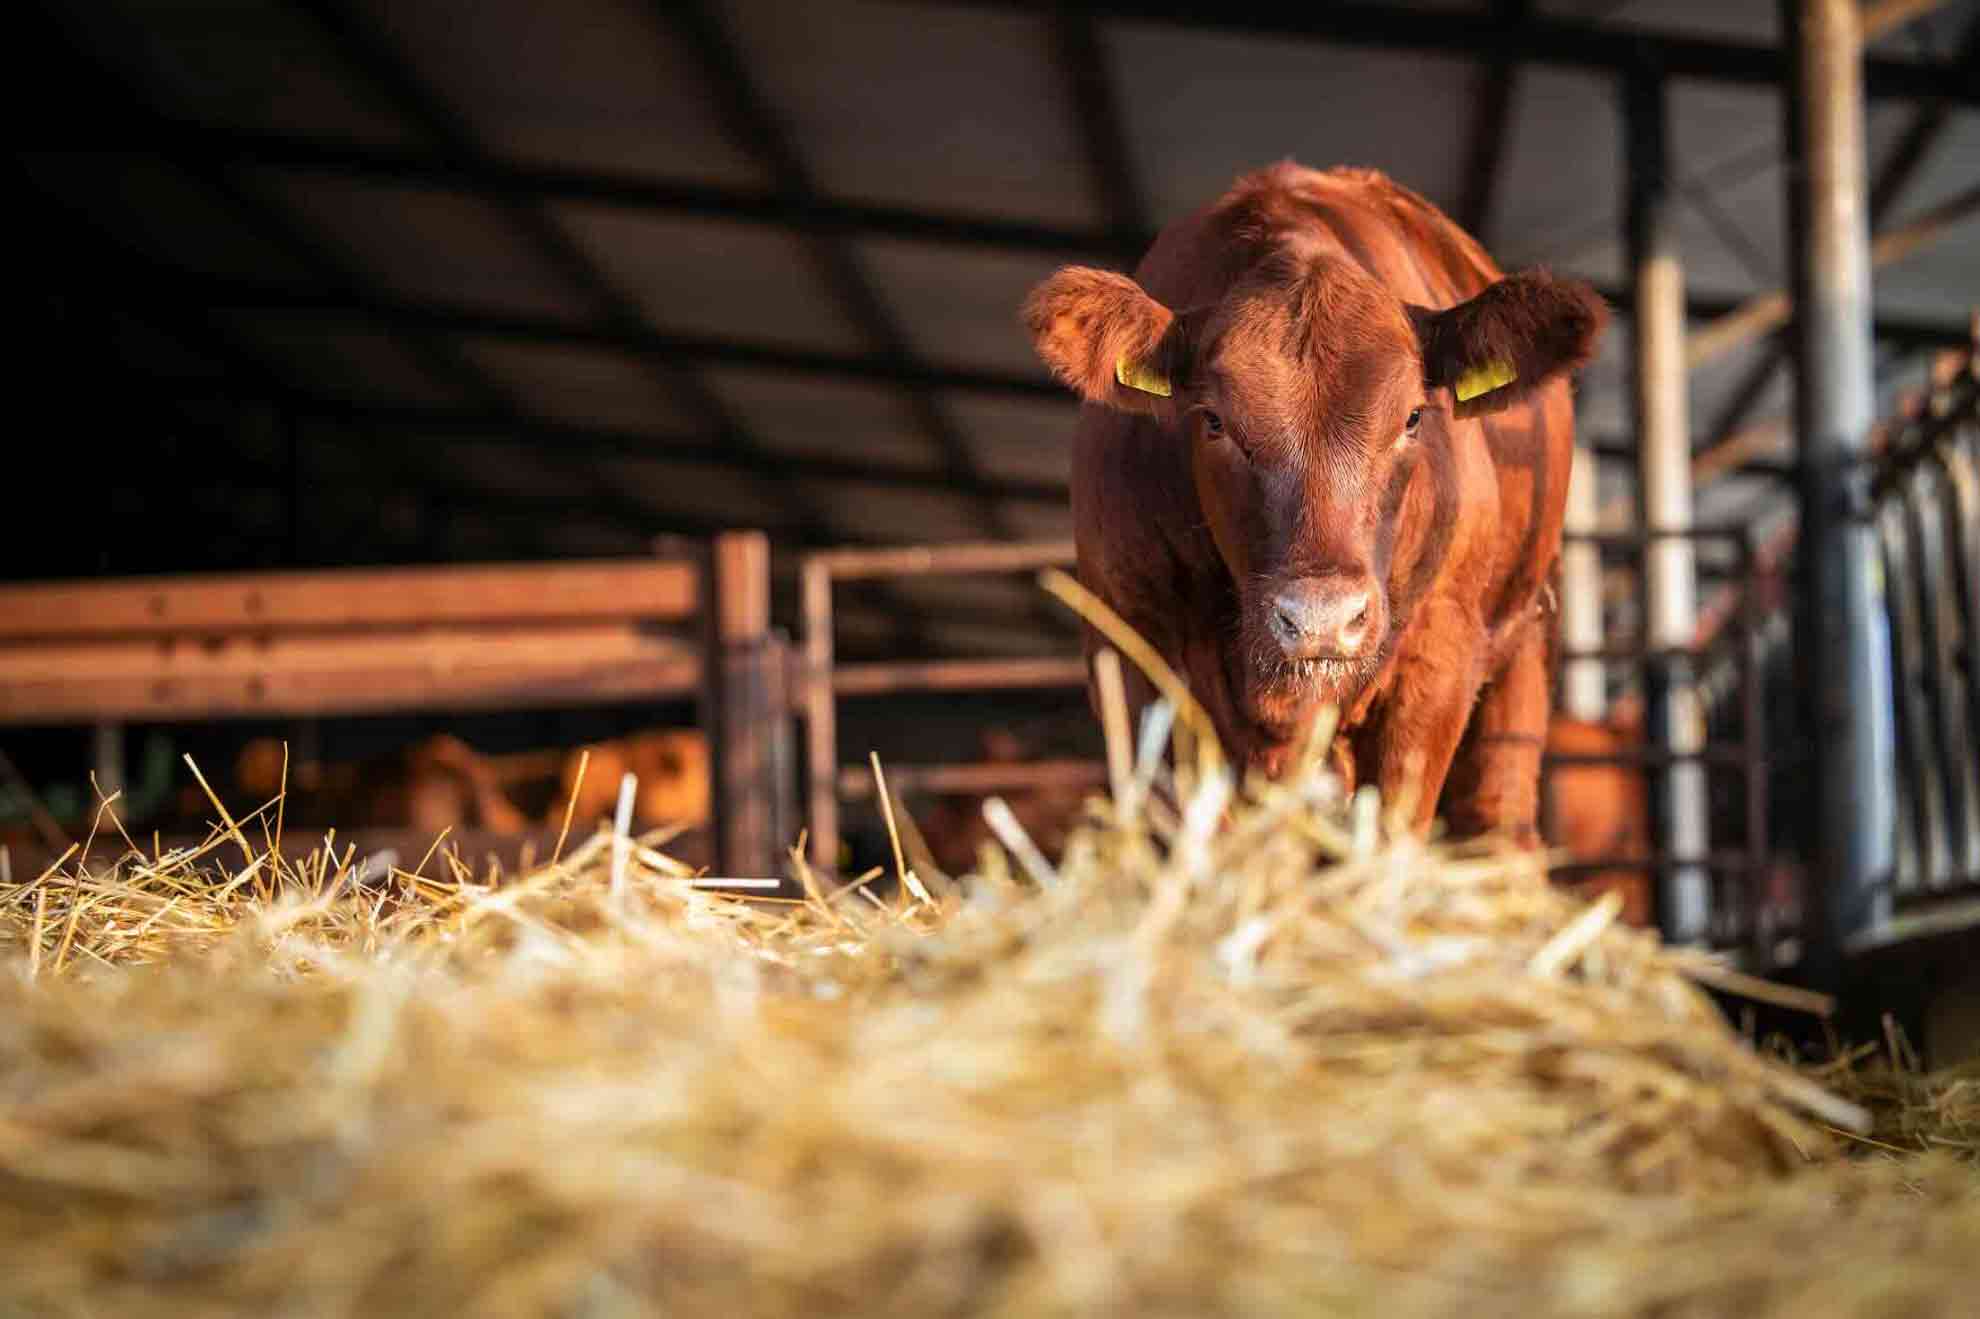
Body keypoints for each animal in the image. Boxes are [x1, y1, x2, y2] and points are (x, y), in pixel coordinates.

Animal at [1023, 162, 1608, 845]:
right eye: (1213, 420)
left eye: (1413, 417)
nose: (1321, 620)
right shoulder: (1134, 650)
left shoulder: (1439, 657)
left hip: (1523, 645)